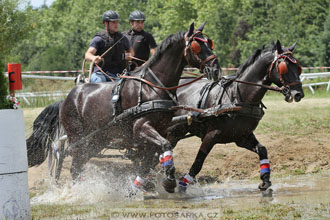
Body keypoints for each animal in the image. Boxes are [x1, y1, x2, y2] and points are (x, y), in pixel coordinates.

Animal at [27, 22, 220, 193]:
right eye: (196, 45)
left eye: (209, 42)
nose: (216, 69)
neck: (153, 87)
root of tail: (66, 98)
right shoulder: (141, 127)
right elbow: (164, 148)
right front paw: (169, 181)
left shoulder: (162, 130)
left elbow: (151, 160)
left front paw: (139, 186)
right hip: (78, 137)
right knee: (69, 161)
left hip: (97, 139)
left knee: (80, 164)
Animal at [168, 40, 304, 192]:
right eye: (283, 67)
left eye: (298, 67)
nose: (298, 94)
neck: (237, 97)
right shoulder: (211, 135)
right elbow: (198, 162)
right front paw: (182, 185)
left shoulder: (242, 136)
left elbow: (262, 150)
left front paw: (265, 180)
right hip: (174, 131)